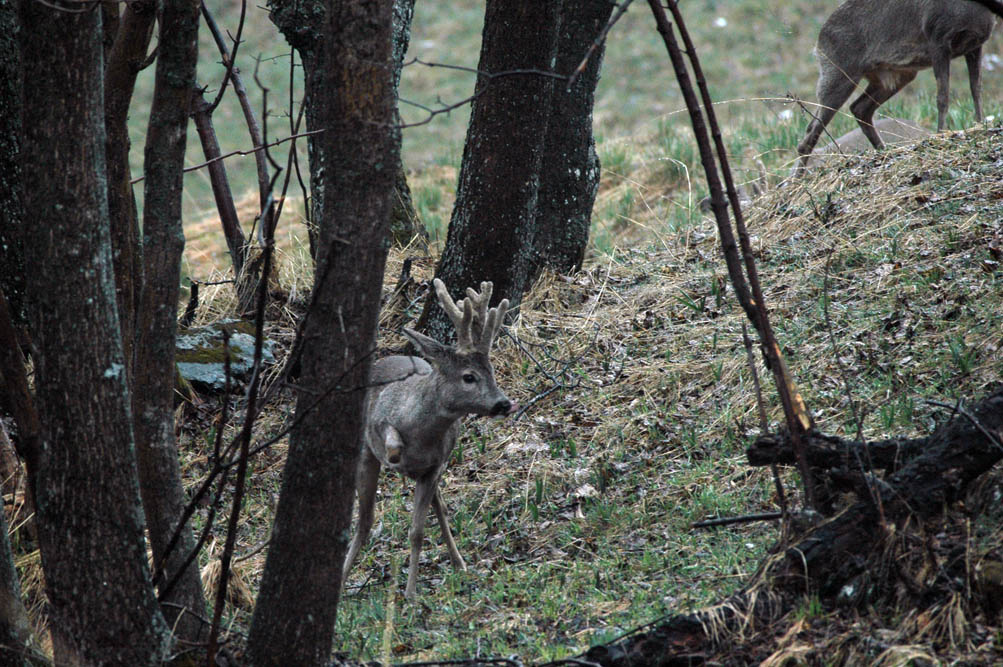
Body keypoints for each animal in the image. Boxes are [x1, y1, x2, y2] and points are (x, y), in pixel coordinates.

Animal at [345, 274, 517, 597]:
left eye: (492, 371)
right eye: (469, 376)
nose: (503, 403)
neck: (421, 432)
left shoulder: (434, 467)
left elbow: (417, 532)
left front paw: (411, 593)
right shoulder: (379, 418)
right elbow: (389, 436)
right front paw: (395, 452)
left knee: (439, 508)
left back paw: (459, 562)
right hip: (365, 455)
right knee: (364, 522)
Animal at [794, 0, 998, 174]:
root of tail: (818, 42)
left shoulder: (976, 44)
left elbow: (976, 88)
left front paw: (980, 125)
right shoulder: (938, 39)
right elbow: (943, 96)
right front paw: (941, 134)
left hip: (895, 75)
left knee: (859, 108)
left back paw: (883, 151)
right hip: (838, 73)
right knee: (811, 131)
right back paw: (798, 180)